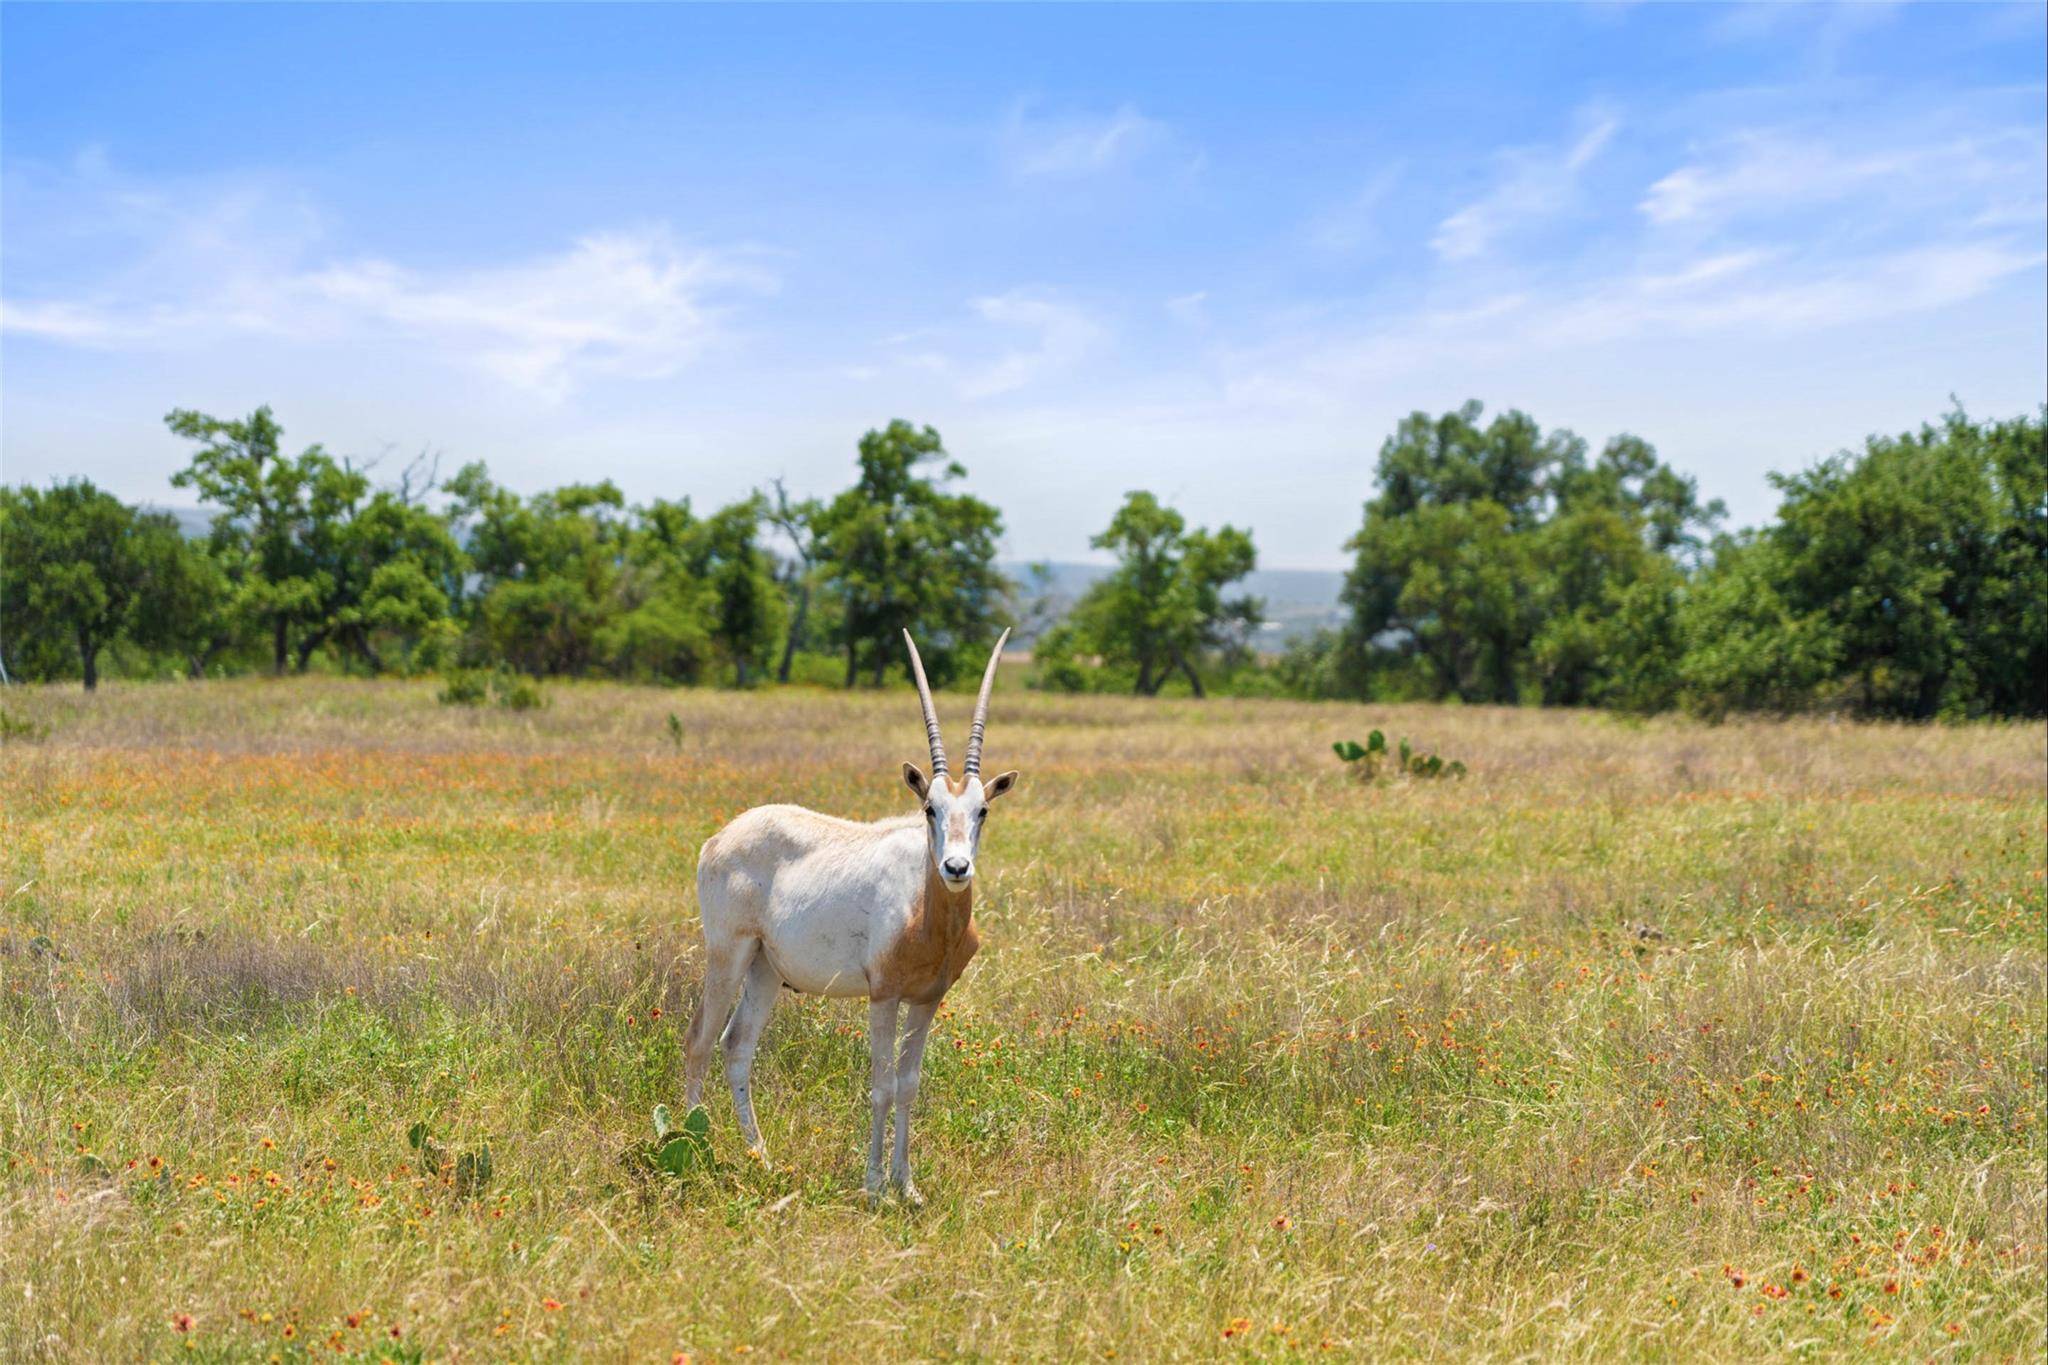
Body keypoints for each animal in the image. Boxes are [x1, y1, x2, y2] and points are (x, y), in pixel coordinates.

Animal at [683, 628, 1019, 1205]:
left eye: (982, 810)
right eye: (929, 808)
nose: (956, 867)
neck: (925, 915)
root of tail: (720, 837)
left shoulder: (927, 999)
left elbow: (909, 1085)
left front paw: (908, 1186)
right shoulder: (882, 996)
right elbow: (881, 1085)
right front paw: (874, 1187)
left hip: (765, 969)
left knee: (736, 1044)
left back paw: (763, 1159)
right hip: (727, 953)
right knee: (700, 1041)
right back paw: (689, 1150)